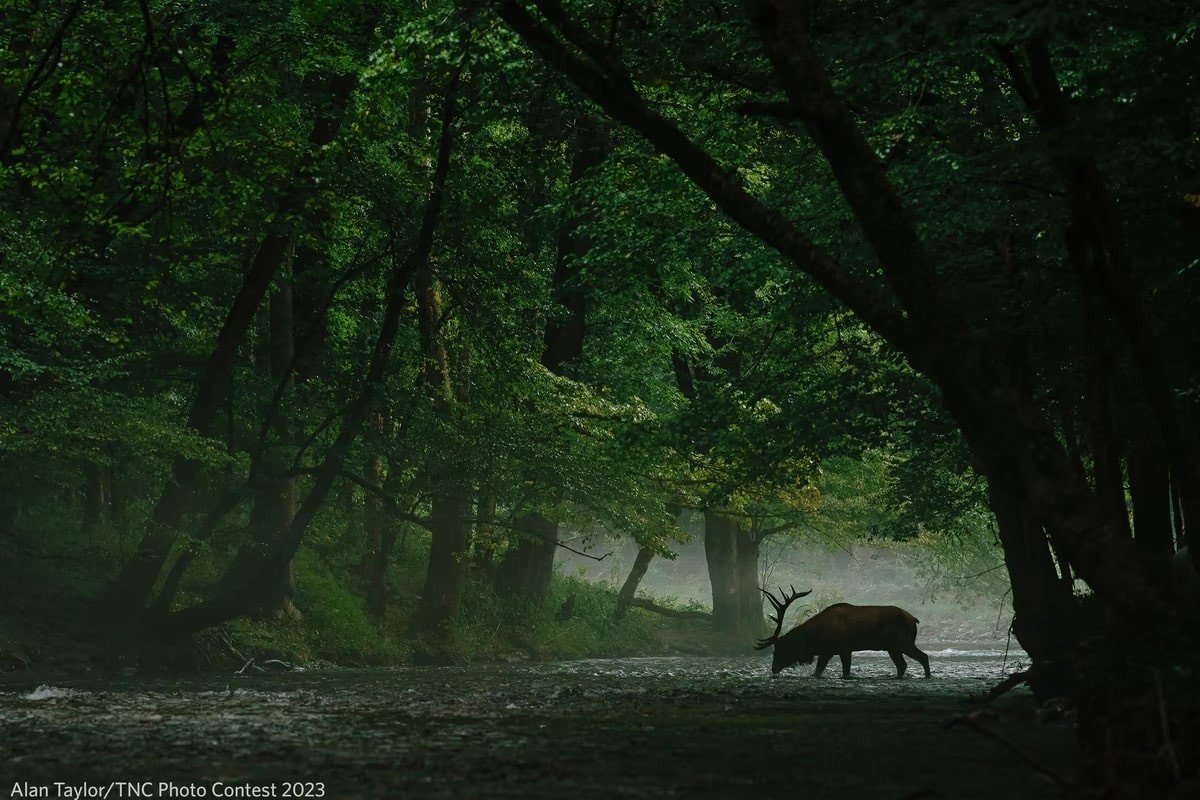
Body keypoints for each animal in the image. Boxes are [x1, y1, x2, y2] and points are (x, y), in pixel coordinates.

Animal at [753, 585, 931, 681]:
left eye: (781, 648)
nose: (774, 668)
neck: (816, 638)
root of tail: (914, 619)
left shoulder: (844, 648)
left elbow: (846, 671)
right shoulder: (826, 652)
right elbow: (817, 671)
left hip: (902, 643)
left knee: (922, 657)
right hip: (893, 647)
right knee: (903, 665)